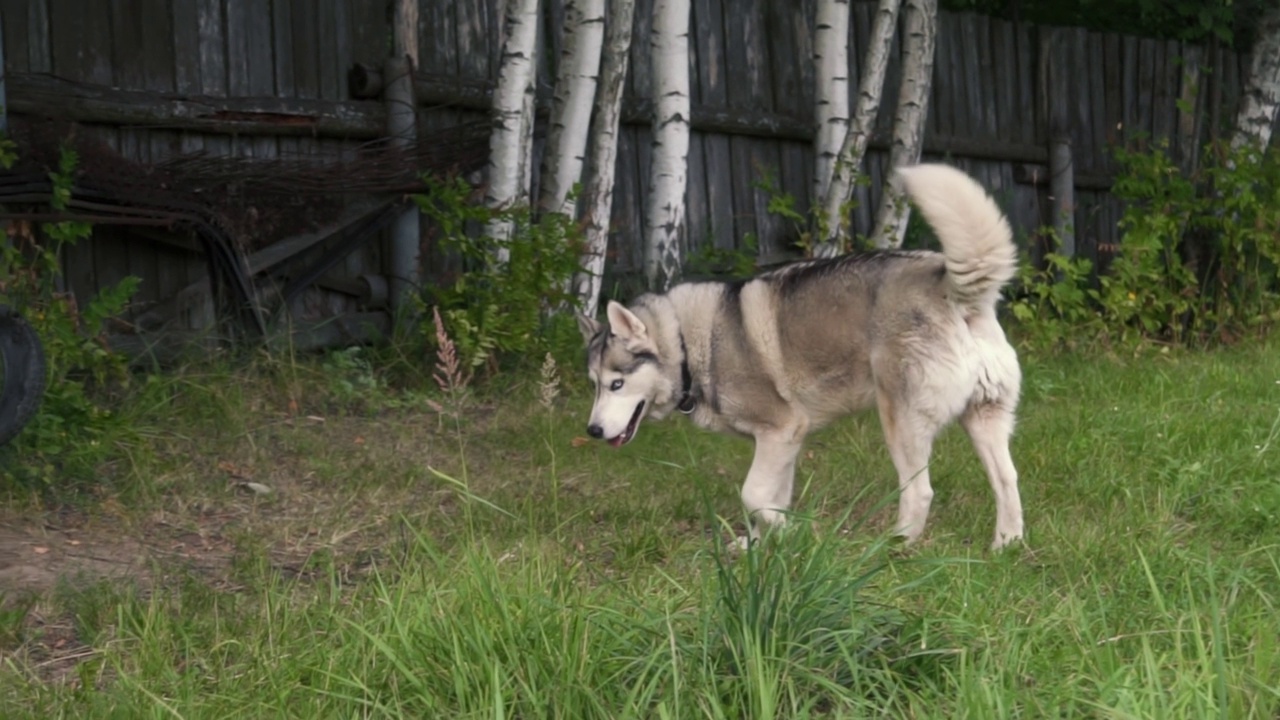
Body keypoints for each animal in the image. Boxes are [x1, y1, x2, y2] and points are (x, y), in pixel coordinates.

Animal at [576, 162, 1024, 545]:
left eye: (617, 384)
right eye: (595, 385)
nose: (592, 431)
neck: (689, 344)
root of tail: (947, 284)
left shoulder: (781, 429)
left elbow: (753, 495)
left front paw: (797, 532)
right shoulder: (783, 443)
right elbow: (768, 500)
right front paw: (761, 549)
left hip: (900, 423)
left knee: (921, 491)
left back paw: (893, 548)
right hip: (985, 419)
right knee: (1007, 480)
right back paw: (1006, 546)